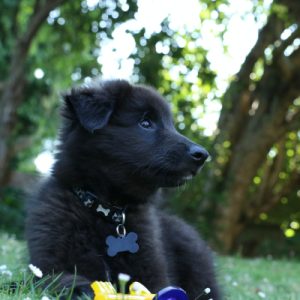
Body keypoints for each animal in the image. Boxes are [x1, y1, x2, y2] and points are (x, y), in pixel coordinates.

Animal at [26, 79, 220, 300]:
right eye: (146, 123)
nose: (202, 155)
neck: (108, 212)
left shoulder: (155, 274)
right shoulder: (48, 263)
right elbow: (59, 280)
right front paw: (84, 288)